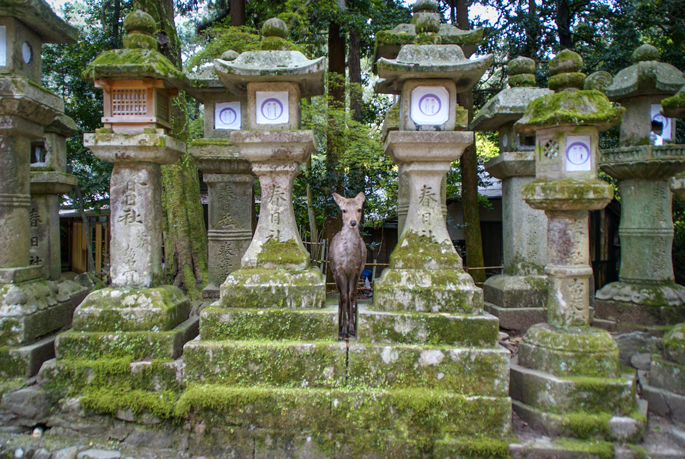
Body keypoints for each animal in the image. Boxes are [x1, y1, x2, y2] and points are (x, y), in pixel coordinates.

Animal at [328, 192, 366, 340]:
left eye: (359, 209)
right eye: (344, 210)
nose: (353, 222)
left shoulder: (356, 269)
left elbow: (350, 296)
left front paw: (350, 328)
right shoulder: (339, 270)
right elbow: (344, 296)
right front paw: (343, 330)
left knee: (352, 295)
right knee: (340, 295)